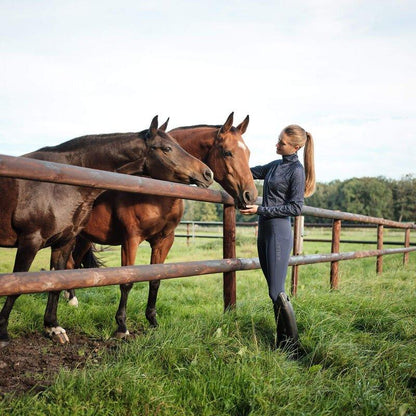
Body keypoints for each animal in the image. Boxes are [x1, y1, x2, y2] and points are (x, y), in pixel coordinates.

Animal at [0, 115, 213, 346]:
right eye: (166, 148)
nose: (207, 174)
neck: (60, 181)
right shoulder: (31, 241)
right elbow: (17, 286)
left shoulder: (64, 241)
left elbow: (57, 281)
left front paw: (53, 327)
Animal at [67, 113, 256, 338]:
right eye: (228, 152)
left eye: (248, 153)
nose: (250, 195)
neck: (155, 188)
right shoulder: (130, 239)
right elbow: (127, 280)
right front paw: (122, 326)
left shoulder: (164, 240)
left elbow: (155, 278)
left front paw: (152, 321)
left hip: (84, 239)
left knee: (72, 265)